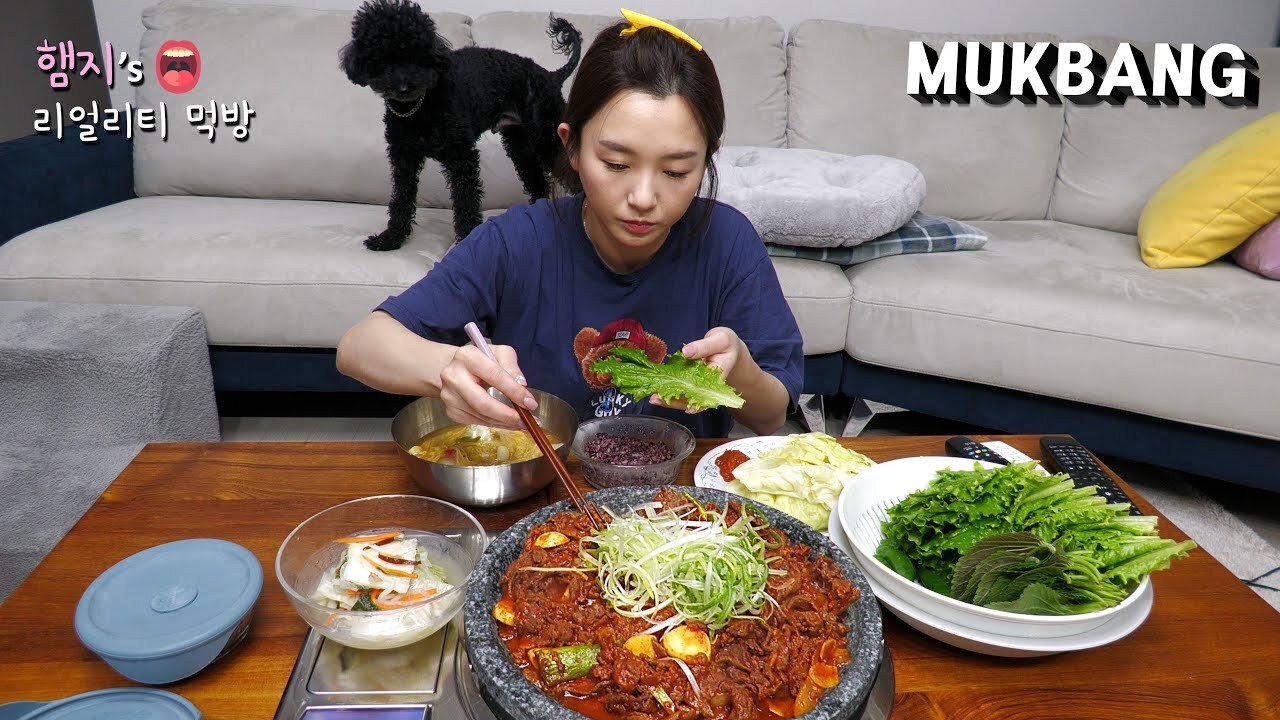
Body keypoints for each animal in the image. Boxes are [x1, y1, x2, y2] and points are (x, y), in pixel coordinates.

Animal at [340, 0, 581, 249]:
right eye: (382, 59)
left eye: (418, 56)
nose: (404, 88)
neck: (421, 106)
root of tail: (550, 75)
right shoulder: (403, 157)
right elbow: (401, 197)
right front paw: (391, 237)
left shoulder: (462, 156)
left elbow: (466, 198)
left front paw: (467, 237)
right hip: (519, 143)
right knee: (536, 180)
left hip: (547, 135)